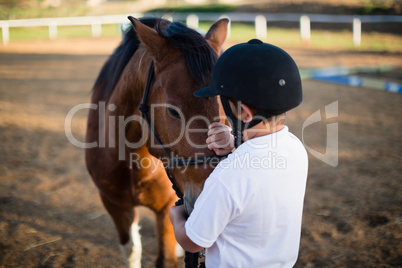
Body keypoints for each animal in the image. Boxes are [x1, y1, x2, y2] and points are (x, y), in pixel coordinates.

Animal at [84, 17, 229, 268]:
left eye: (225, 108)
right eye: (172, 111)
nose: (213, 204)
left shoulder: (166, 210)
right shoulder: (115, 205)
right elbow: (132, 251)